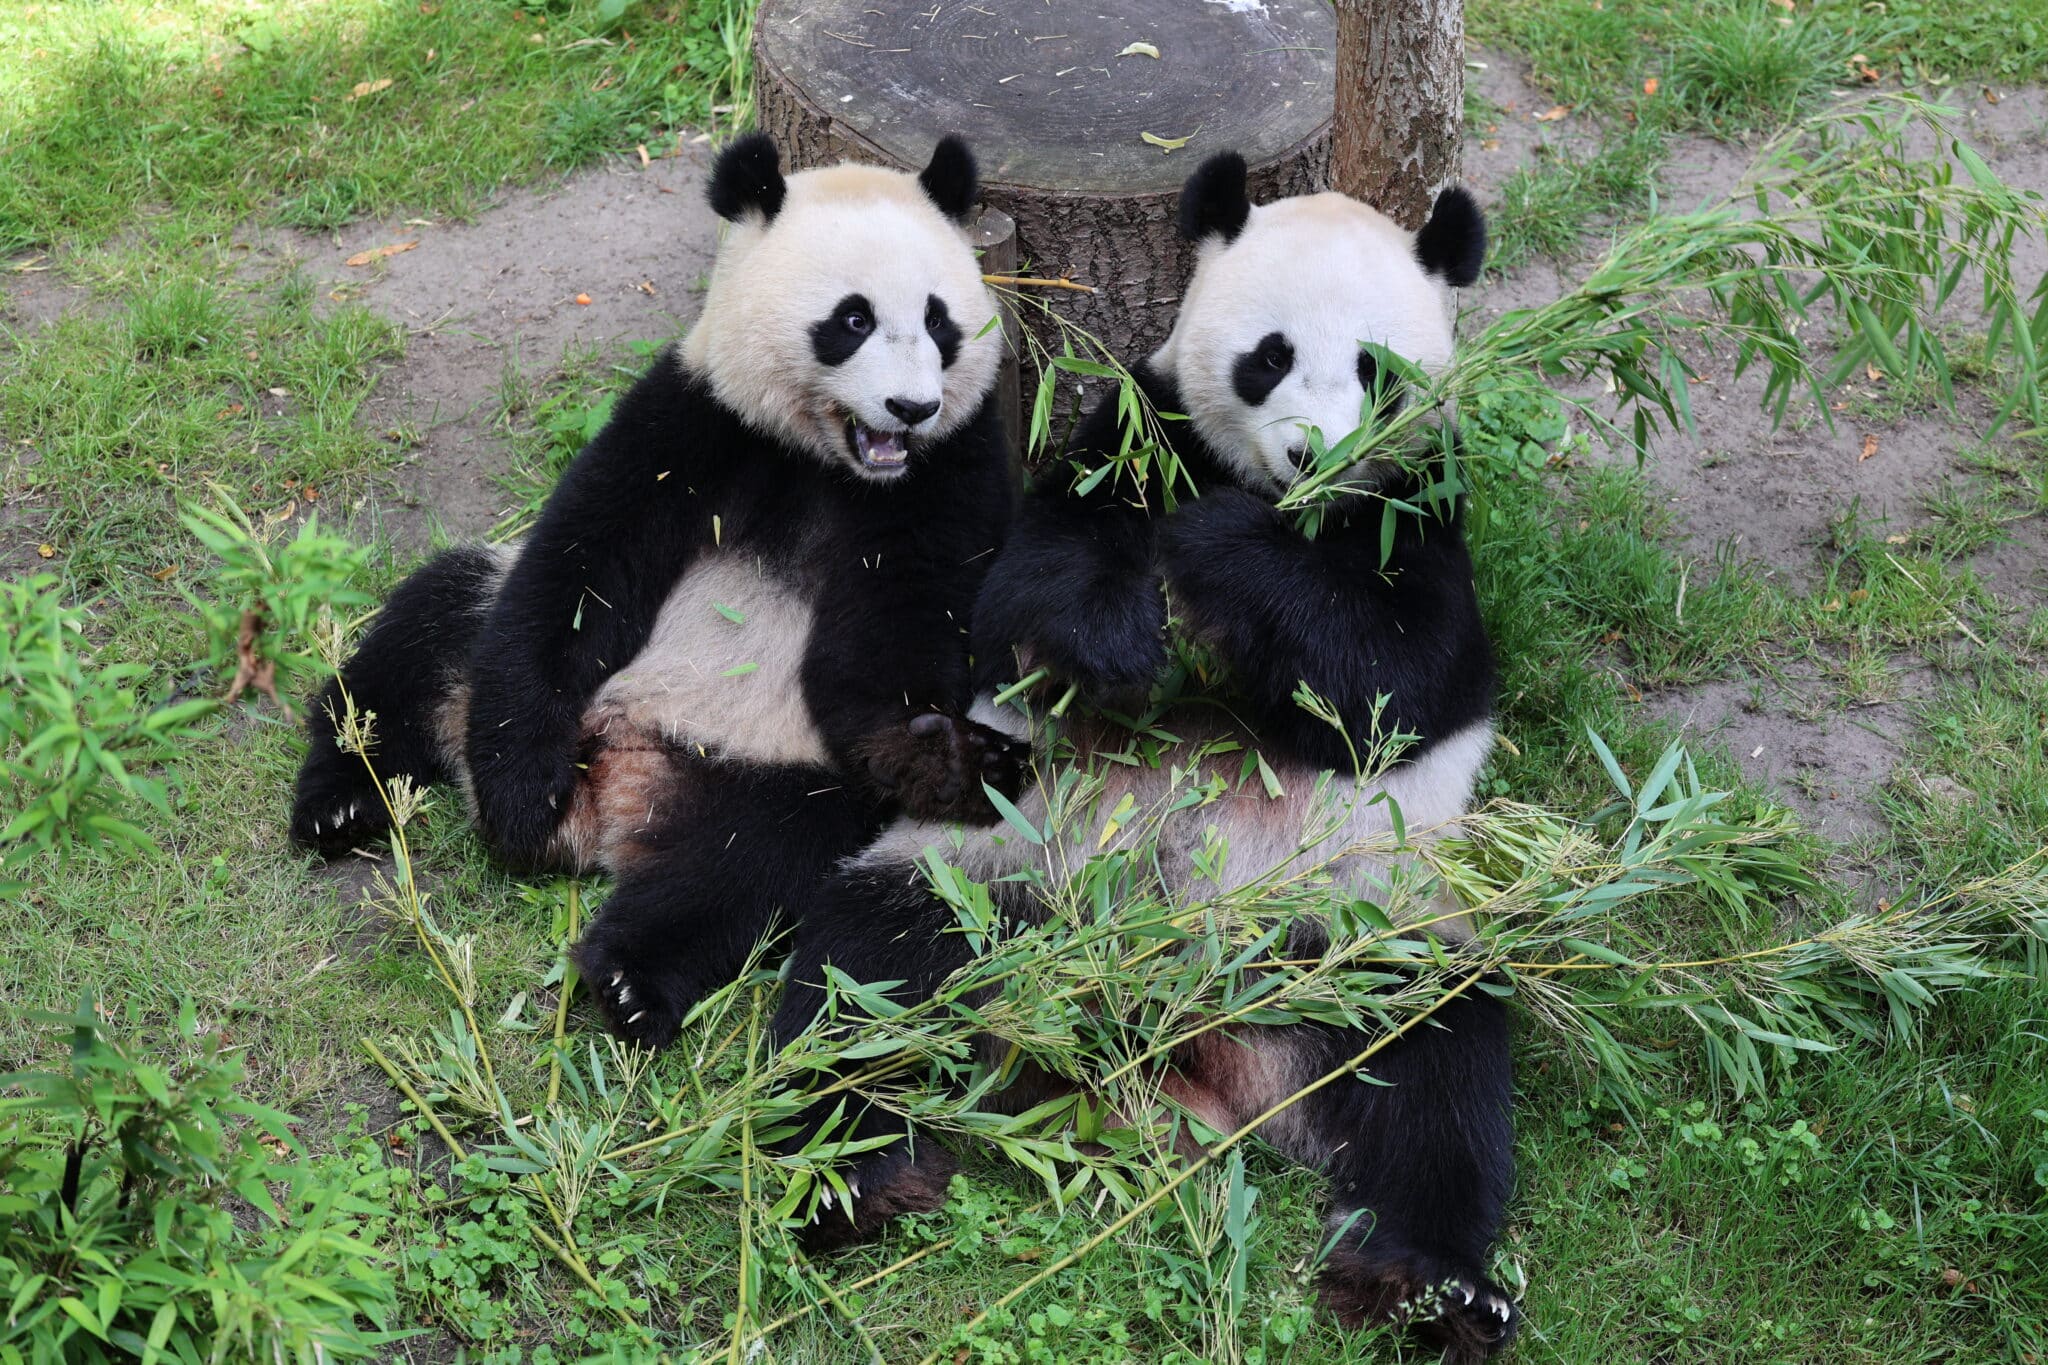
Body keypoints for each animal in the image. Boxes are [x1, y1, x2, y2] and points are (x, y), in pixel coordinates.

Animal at [286, 130, 1024, 1047]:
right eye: (851, 320)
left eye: (938, 320)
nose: (912, 407)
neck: (827, 458)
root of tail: (615, 787)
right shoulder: (693, 418)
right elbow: (580, 567)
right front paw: (519, 794)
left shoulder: (952, 473)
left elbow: (898, 635)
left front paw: (950, 753)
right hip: (486, 640)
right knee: (430, 631)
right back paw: (345, 801)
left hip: (771, 769)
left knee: (742, 866)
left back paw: (632, 980)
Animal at [774, 154, 1515, 1358]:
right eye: (1270, 356)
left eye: (1375, 369)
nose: (1313, 457)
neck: (1286, 507)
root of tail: (1184, 1052)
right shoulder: (1130, 436)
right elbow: (1029, 586)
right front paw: (1127, 643)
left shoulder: (1421, 506)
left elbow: (1403, 677)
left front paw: (1226, 562)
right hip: (992, 879)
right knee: (865, 987)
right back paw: (857, 1182)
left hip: (1363, 932)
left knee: (1433, 1078)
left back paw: (1425, 1284)